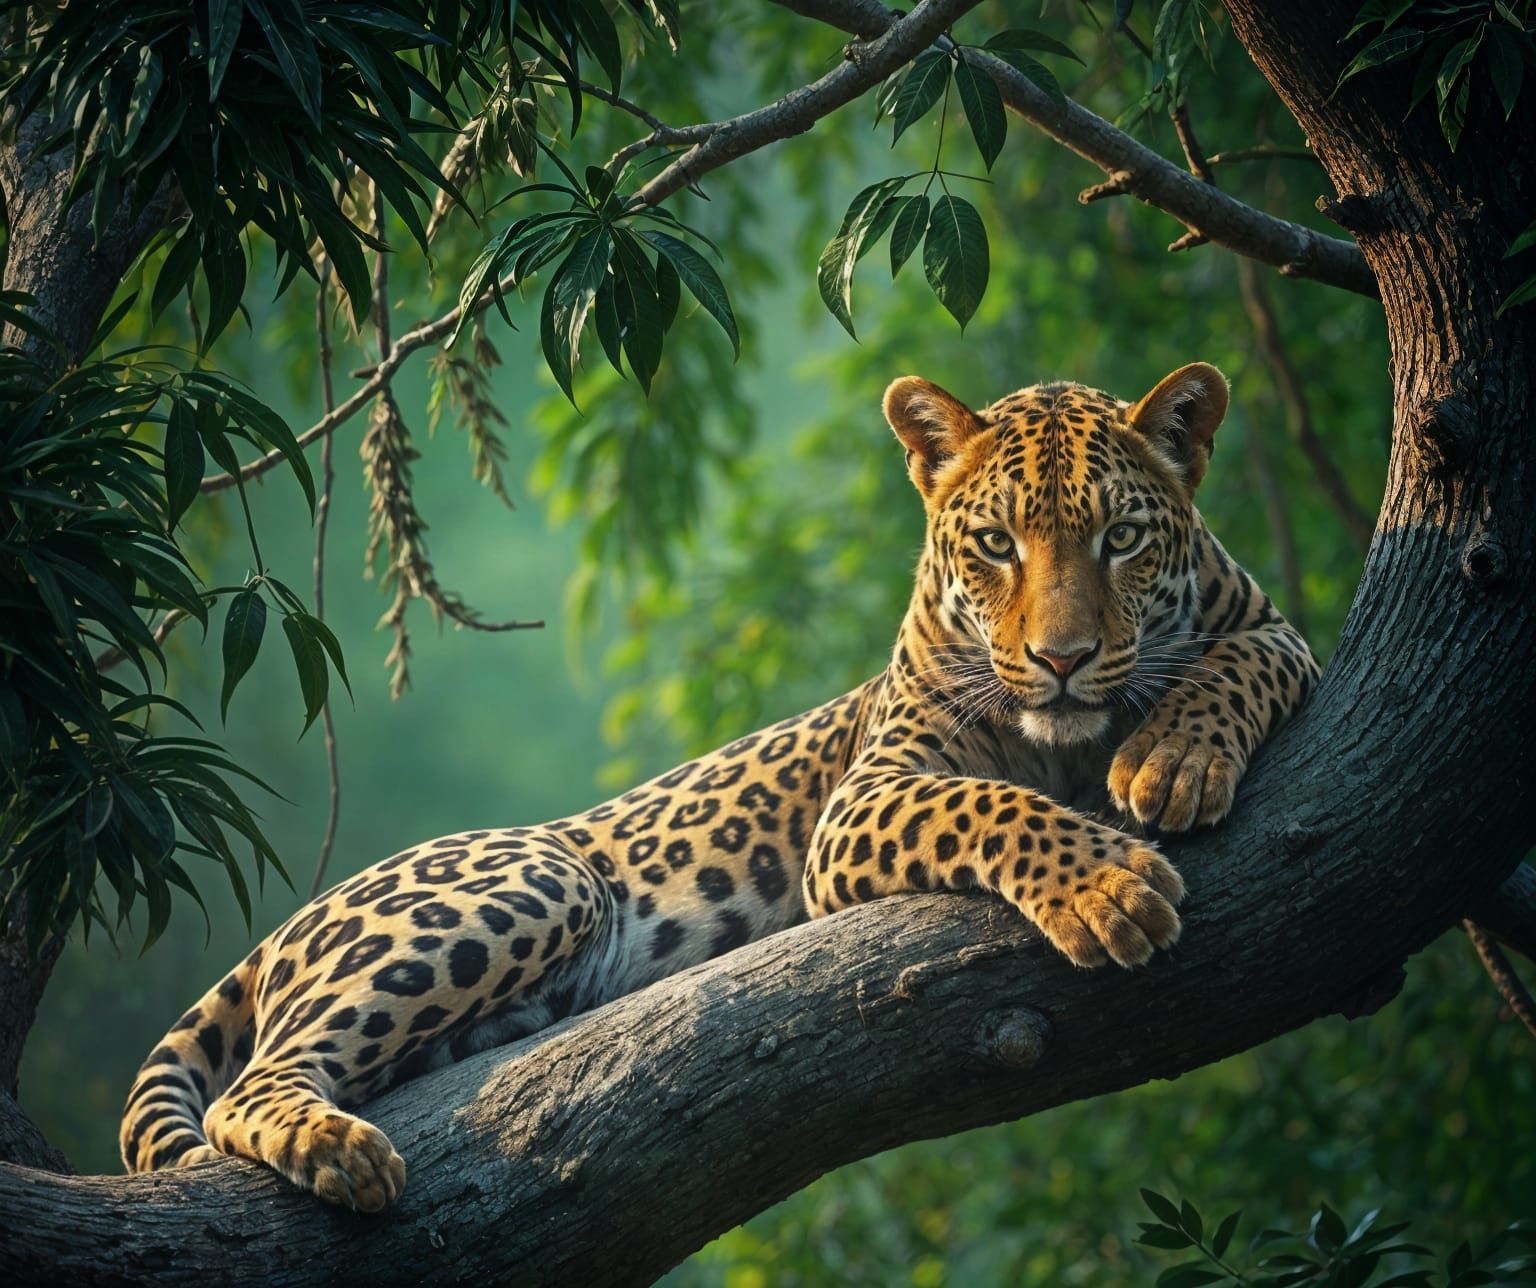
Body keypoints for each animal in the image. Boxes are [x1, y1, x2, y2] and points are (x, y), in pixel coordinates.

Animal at [120, 362, 1319, 1211]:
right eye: (993, 543)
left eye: (1121, 539)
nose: (1063, 658)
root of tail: (294, 920)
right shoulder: (868, 796)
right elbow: (992, 801)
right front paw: (1108, 885)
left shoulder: (1272, 629)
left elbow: (1242, 663)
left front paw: (1174, 758)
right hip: (534, 882)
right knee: (252, 1083)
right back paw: (337, 1150)